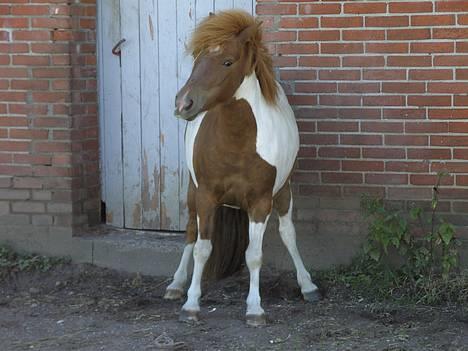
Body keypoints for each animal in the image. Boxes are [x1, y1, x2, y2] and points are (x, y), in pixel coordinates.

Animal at [165, 8, 322, 328]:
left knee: (288, 233)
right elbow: (202, 248)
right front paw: (191, 304)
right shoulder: (206, 196)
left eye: (227, 61)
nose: (183, 103)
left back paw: (308, 286)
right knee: (190, 233)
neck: (238, 141)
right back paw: (176, 285)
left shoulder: (260, 202)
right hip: (192, 193)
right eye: (197, 59)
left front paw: (255, 309)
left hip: (283, 193)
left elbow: (255, 255)